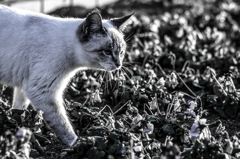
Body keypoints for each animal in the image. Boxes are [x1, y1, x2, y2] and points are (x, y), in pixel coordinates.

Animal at [0, 5, 132, 146]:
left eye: (121, 52)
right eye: (107, 52)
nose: (119, 64)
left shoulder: (25, 85)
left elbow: (19, 109)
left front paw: (19, 126)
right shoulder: (42, 90)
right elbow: (61, 123)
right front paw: (75, 144)